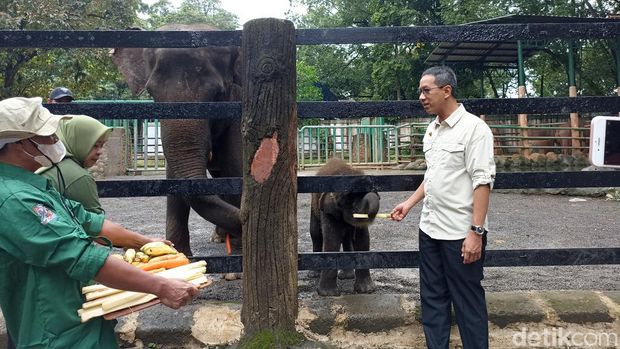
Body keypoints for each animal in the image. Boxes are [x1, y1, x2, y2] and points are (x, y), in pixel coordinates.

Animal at [112, 23, 243, 254]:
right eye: (151, 92)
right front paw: (179, 252)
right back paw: (218, 238)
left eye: (218, 95)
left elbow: (235, 166)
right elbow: (174, 178)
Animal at [308, 159, 378, 294]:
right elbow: (332, 239)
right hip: (313, 207)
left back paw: (346, 276)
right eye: (352, 203)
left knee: (346, 238)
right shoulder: (327, 210)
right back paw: (314, 274)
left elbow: (363, 239)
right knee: (316, 234)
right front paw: (328, 294)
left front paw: (366, 290)